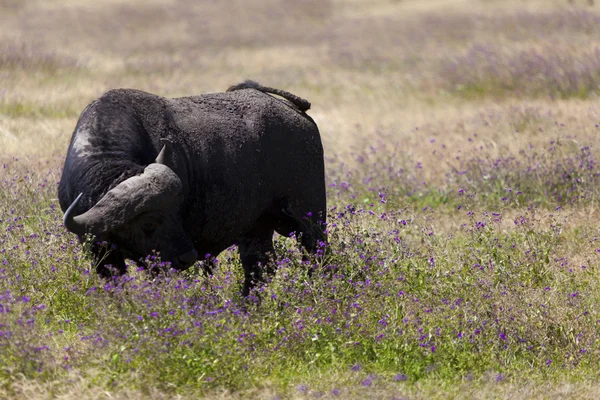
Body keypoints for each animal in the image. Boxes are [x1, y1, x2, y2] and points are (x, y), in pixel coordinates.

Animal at [58, 80, 326, 294]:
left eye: (176, 212)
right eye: (149, 223)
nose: (188, 257)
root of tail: (296, 113)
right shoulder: (98, 251)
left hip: (310, 219)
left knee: (318, 259)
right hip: (256, 229)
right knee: (259, 270)